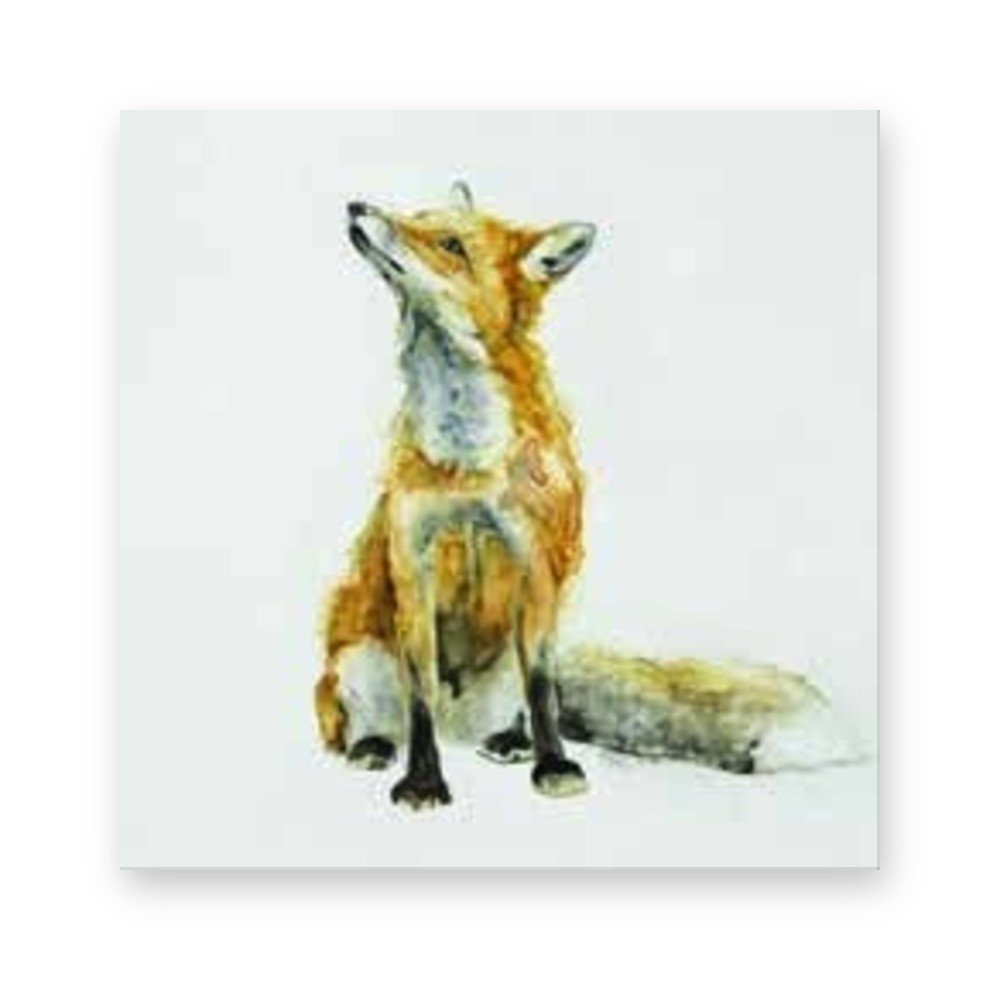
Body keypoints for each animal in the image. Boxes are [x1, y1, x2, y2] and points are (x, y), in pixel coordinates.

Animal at [315, 181, 856, 809]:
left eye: (450, 243)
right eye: (418, 216)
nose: (356, 206)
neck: (468, 462)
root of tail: (462, 723)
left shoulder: (536, 565)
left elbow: (543, 690)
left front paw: (553, 765)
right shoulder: (413, 565)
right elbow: (420, 695)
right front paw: (424, 780)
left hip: (502, 669)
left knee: (524, 704)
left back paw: (510, 742)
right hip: (358, 661)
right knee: (376, 718)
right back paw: (373, 745)